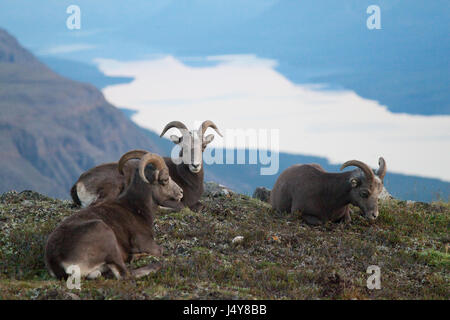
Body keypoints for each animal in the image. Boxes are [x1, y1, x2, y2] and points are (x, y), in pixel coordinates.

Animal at [45, 151, 183, 278]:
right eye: (165, 179)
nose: (181, 192)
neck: (136, 208)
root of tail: (58, 262)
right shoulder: (145, 242)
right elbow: (160, 250)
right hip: (105, 235)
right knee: (125, 274)